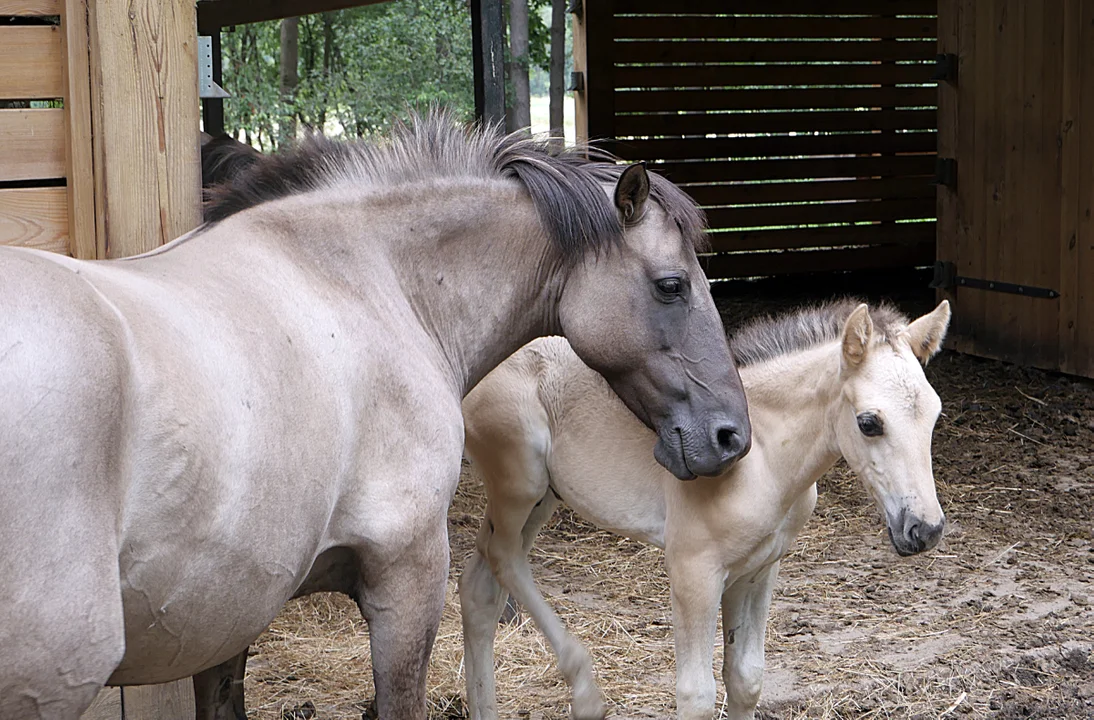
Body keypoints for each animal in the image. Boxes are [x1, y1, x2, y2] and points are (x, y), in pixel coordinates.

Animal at [459, 297, 949, 717]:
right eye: (869, 423)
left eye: (935, 414)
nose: (924, 529)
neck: (762, 455)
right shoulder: (694, 571)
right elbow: (696, 695)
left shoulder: (758, 569)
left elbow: (746, 679)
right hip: (519, 482)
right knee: (501, 557)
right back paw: (585, 692)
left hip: (545, 496)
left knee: (481, 586)